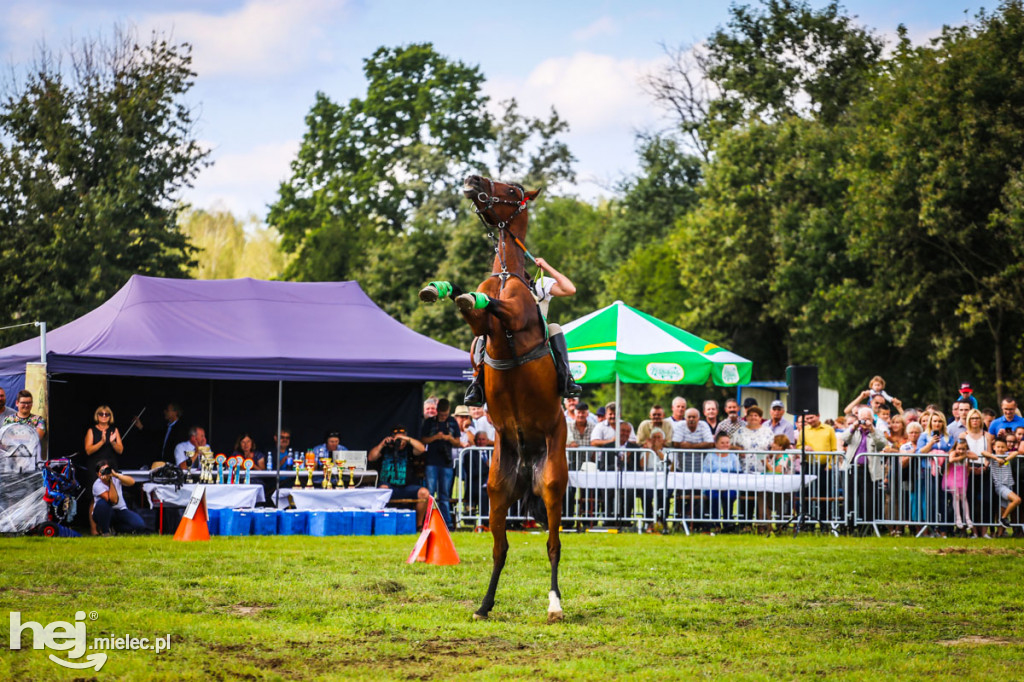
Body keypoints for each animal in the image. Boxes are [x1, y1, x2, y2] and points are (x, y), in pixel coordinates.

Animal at [421, 175, 569, 622]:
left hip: (553, 482)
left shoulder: (515, 318)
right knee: (500, 548)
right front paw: (442, 288)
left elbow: (495, 307)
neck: (506, 274)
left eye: (514, 188)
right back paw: (484, 604)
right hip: (496, 491)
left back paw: (555, 604)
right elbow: (473, 310)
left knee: (553, 545)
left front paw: (469, 295)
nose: (473, 180)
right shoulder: (481, 328)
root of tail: (528, 464)